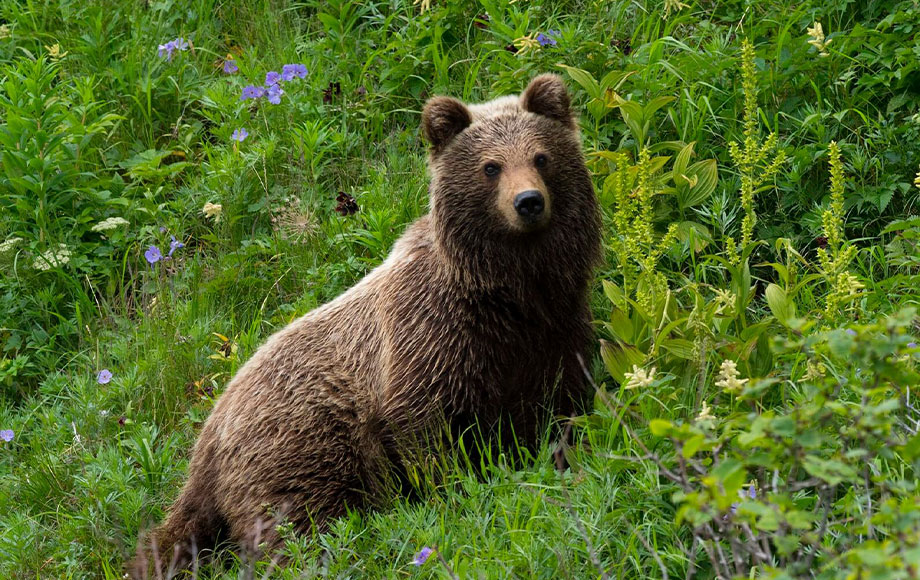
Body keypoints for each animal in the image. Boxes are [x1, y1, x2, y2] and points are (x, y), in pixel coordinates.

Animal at [131, 72, 604, 576]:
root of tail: (207, 437)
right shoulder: (430, 340)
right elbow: (425, 430)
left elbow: (560, 403)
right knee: (295, 521)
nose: (528, 202)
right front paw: (455, 492)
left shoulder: (552, 330)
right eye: (490, 166)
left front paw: (562, 454)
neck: (506, 291)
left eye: (541, 156)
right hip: (299, 445)